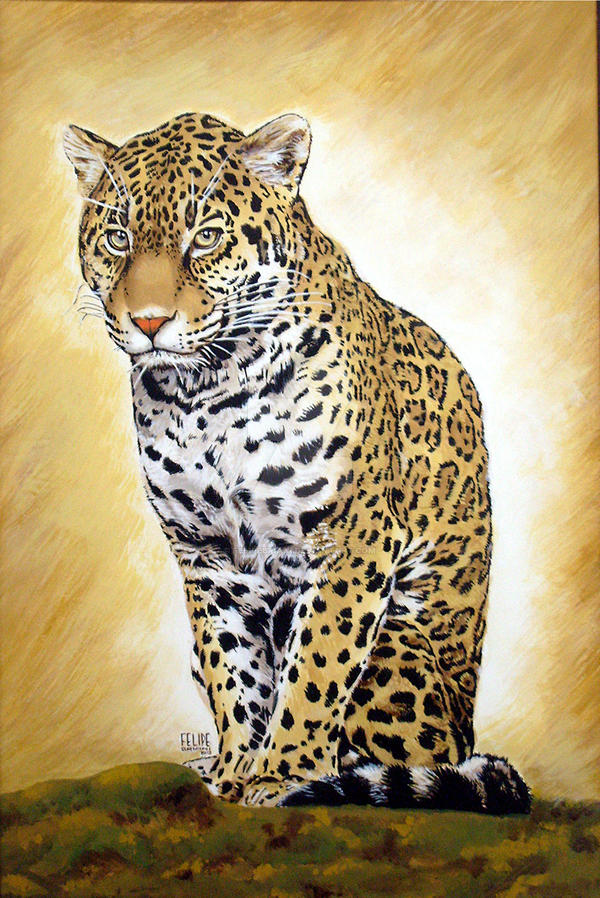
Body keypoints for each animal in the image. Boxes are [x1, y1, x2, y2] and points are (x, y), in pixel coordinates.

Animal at [64, 111, 530, 813]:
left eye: (205, 237)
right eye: (117, 237)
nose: (147, 322)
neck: (205, 394)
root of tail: (468, 728)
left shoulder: (351, 541)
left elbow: (316, 668)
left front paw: (284, 772)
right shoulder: (206, 556)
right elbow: (234, 672)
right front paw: (236, 769)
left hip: (400, 656)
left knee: (417, 753)